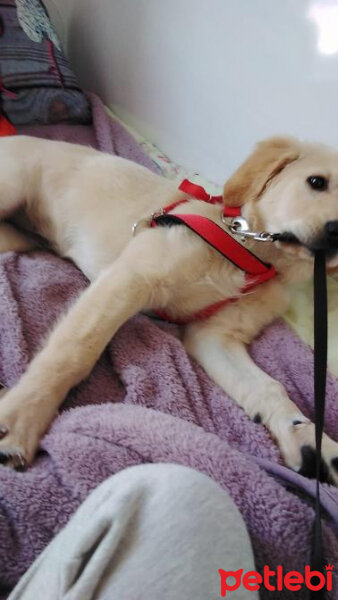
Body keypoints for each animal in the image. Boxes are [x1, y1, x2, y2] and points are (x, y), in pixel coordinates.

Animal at [0, 136, 336, 482]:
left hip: (19, 237)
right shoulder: (131, 278)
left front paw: (310, 440)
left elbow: (269, 387)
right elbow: (73, 351)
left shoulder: (214, 335)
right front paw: (22, 417)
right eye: (316, 182)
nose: (336, 232)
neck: (253, 254)